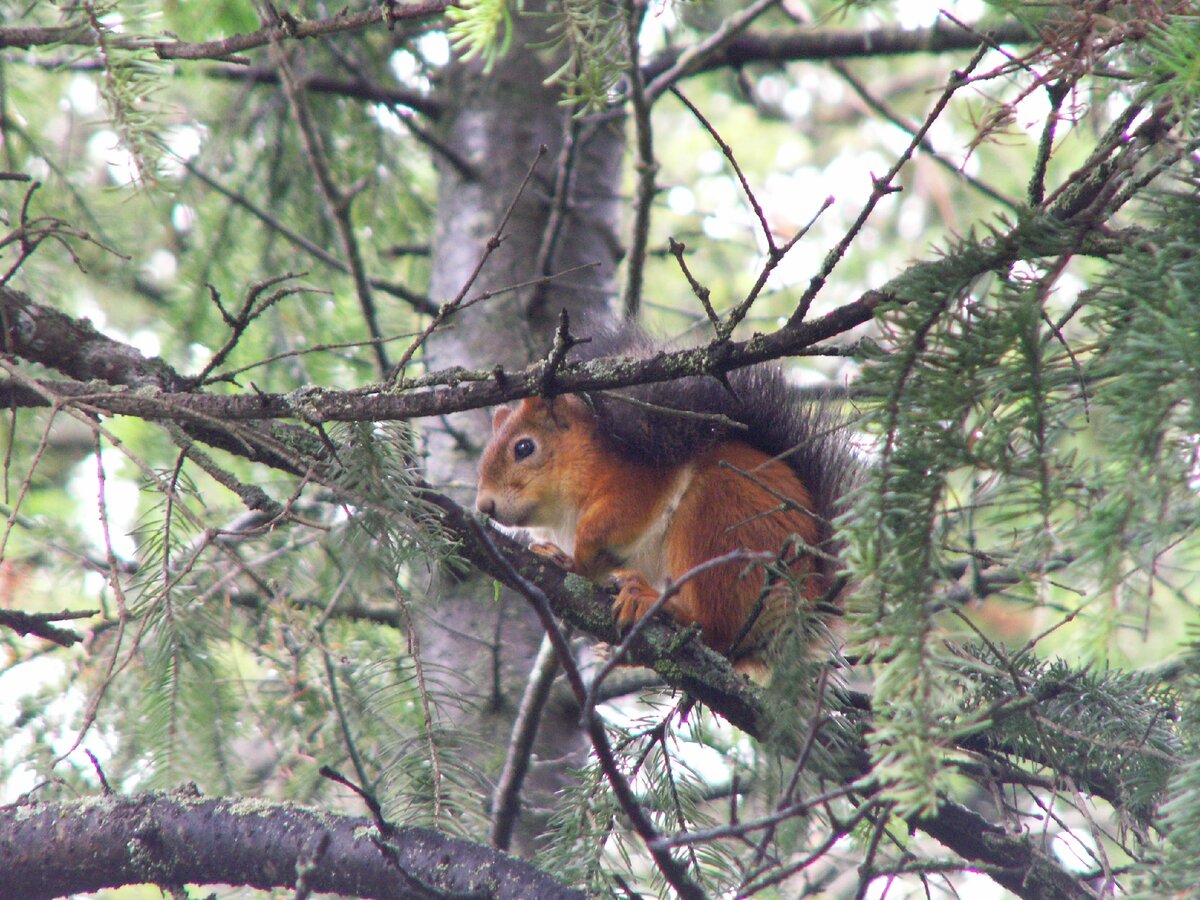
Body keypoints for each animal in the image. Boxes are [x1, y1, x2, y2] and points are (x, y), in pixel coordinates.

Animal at [472, 328, 859, 667]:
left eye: (524, 448)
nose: (484, 506)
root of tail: (806, 603)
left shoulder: (638, 481)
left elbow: (611, 522)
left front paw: (573, 558)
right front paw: (553, 552)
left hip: (718, 522)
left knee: (715, 630)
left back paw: (659, 605)